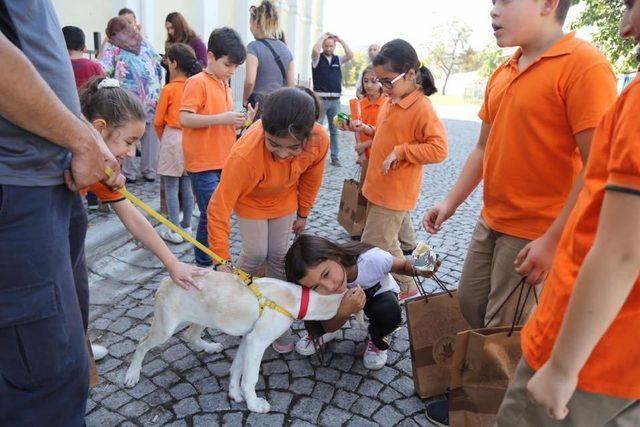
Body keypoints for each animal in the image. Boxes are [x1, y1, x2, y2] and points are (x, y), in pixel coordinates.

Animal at [123, 270, 342, 414]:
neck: (298, 299)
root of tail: (166, 279)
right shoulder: (257, 341)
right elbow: (250, 377)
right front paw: (254, 404)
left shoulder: (248, 338)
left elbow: (237, 367)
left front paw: (235, 393)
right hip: (166, 327)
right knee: (142, 343)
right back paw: (132, 374)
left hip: (200, 319)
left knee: (190, 336)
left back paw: (210, 347)